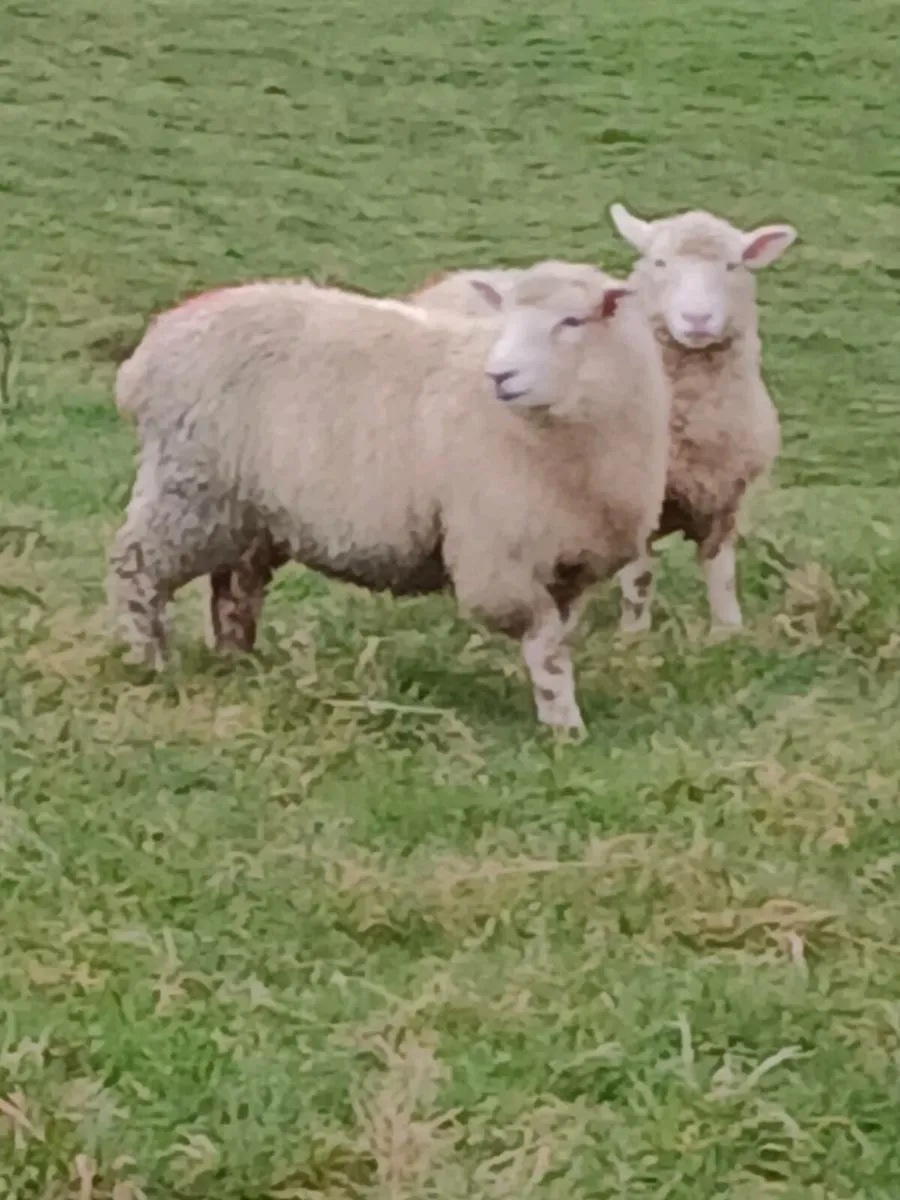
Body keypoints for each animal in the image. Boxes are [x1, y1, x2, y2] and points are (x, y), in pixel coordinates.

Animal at [108, 261, 670, 729]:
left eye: (572, 321)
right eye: (505, 318)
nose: (500, 376)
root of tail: (149, 351)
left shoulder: (571, 561)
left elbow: (555, 642)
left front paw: (557, 716)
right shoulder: (498, 560)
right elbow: (546, 646)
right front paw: (565, 727)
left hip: (241, 511)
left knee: (233, 588)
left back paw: (237, 662)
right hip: (188, 490)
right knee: (135, 567)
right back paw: (151, 663)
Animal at [409, 207, 797, 634]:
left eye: (733, 265)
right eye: (659, 262)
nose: (697, 319)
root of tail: (457, 276)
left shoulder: (725, 499)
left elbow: (722, 576)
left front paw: (728, 633)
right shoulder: (633, 509)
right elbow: (639, 581)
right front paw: (633, 637)